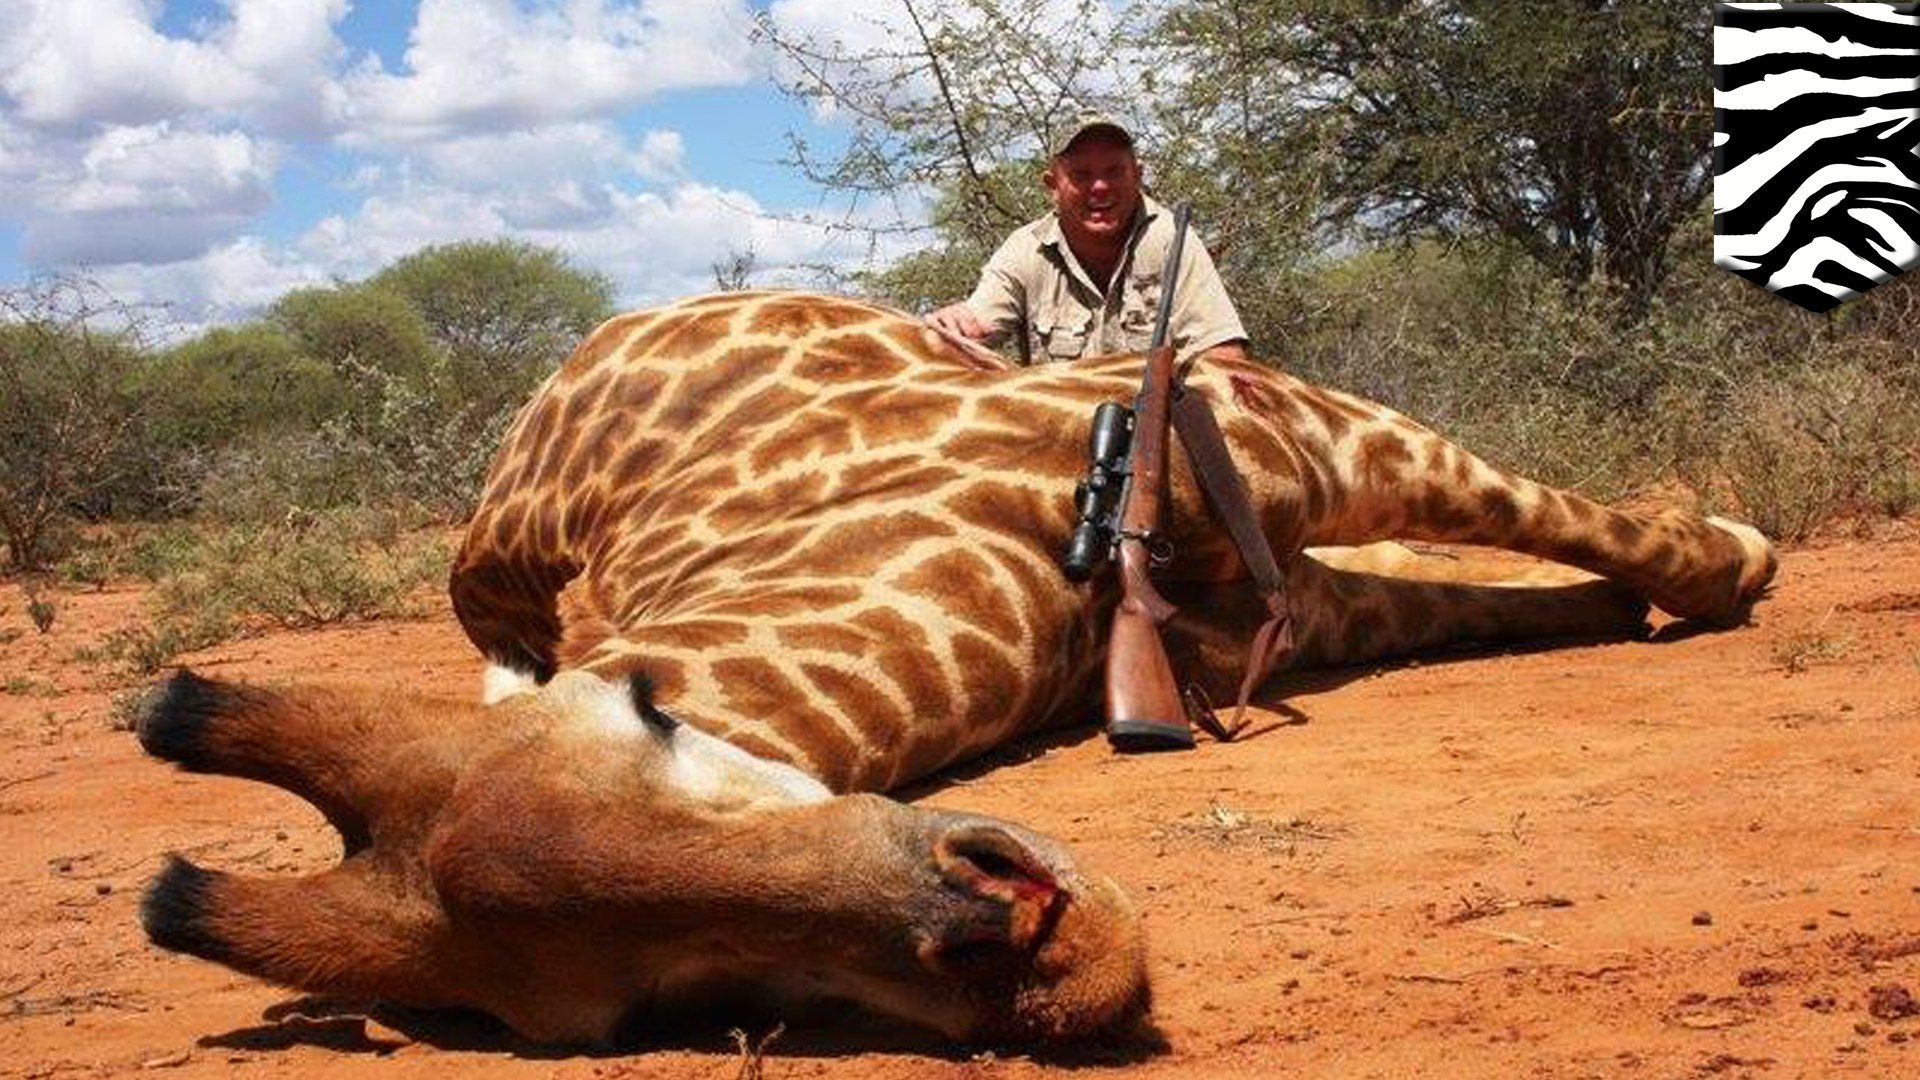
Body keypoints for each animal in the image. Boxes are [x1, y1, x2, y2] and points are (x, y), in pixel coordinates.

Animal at [138, 291, 1774, 1046]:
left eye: (656, 719)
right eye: (668, 1001)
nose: (1038, 947)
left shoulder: (1304, 441)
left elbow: (1574, 534)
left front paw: (1737, 554)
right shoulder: (1290, 557)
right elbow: (1513, 581)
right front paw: (1684, 568)